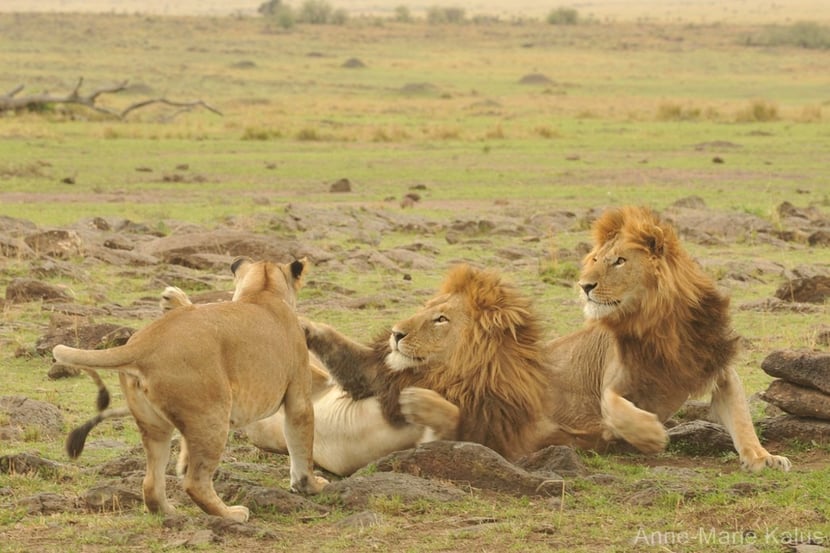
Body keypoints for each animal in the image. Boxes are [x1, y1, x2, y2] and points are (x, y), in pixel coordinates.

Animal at [53, 257, 327, 522]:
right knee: (195, 482)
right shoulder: (299, 396)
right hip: (212, 417)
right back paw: (232, 514)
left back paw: (169, 512)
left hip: (156, 426)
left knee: (151, 483)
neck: (263, 291)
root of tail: (143, 344)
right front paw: (311, 485)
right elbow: (302, 445)